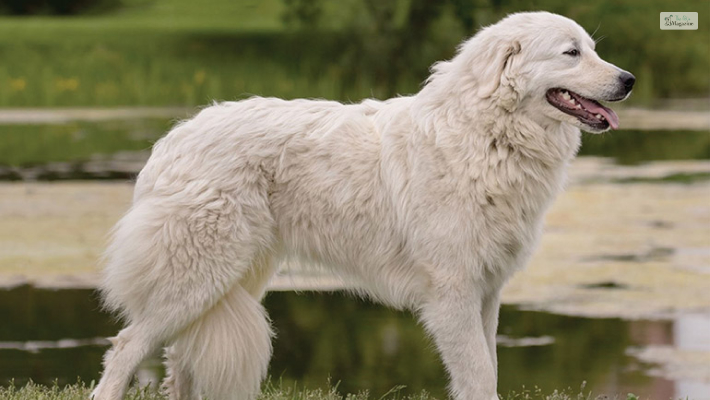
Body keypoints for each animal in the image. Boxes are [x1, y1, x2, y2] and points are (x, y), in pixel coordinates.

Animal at [93, 10, 636, 400]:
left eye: (592, 49)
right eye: (571, 53)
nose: (629, 79)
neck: (488, 135)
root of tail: (170, 141)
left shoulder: (487, 291)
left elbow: (489, 368)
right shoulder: (454, 293)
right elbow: (480, 376)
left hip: (226, 282)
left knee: (176, 362)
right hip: (198, 275)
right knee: (126, 348)